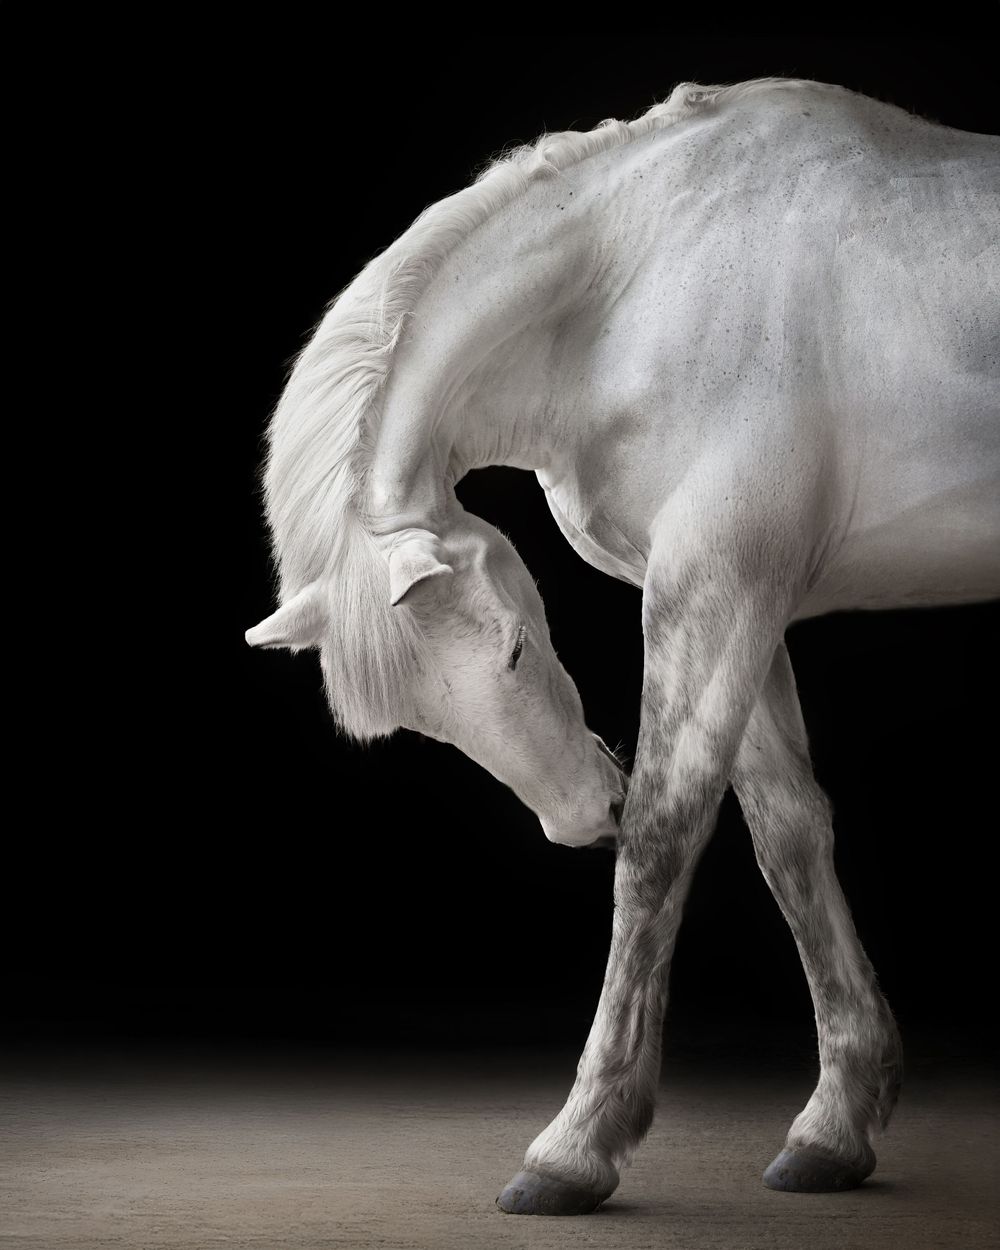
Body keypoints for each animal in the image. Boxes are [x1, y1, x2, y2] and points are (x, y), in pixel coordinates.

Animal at [246, 77, 1000, 1214]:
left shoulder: (713, 586)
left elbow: (661, 840)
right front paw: (835, 1123)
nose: (578, 815)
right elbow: (787, 835)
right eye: (425, 722)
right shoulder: (737, 597)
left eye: (519, 648)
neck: (636, 290)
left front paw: (577, 1144)